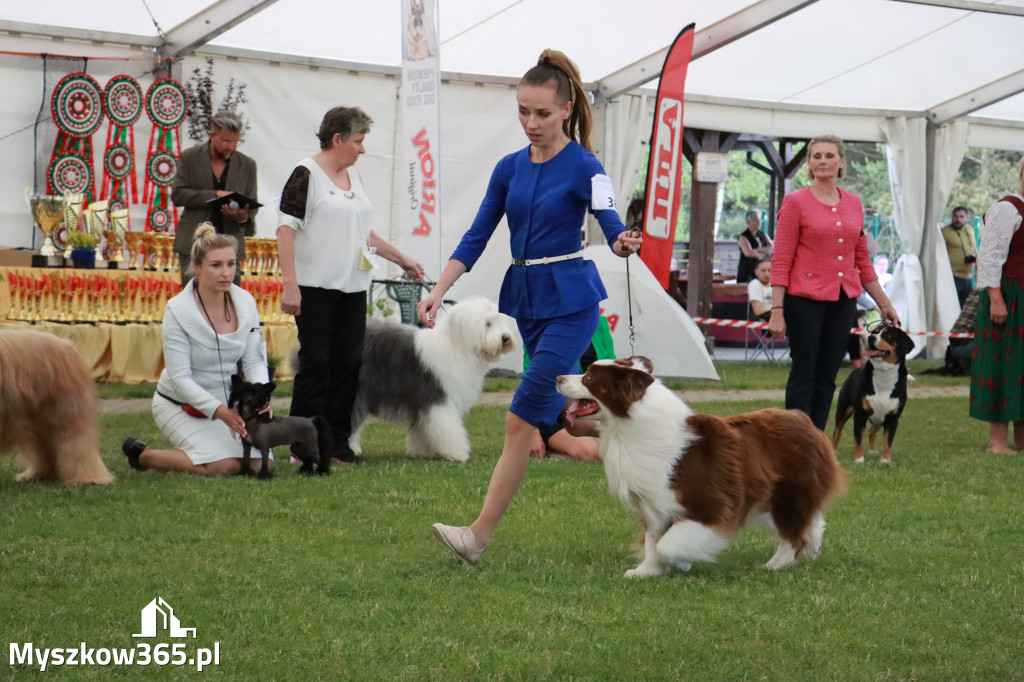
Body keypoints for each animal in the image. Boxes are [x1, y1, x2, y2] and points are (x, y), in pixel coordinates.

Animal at [0, 329, 113, 483]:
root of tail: (66, 344)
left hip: (67, 414)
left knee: (79, 445)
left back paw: (87, 478)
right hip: (38, 420)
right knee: (43, 450)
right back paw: (38, 474)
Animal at [557, 356, 843, 573]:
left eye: (589, 378)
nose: (558, 379)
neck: (626, 428)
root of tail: (803, 419)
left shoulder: (711, 504)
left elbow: (666, 545)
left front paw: (680, 561)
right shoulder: (654, 501)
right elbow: (652, 540)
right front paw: (646, 571)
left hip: (787, 493)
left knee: (793, 533)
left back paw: (775, 564)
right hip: (764, 500)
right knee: (810, 522)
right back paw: (812, 546)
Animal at [827, 319, 917, 462]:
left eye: (888, 335)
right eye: (875, 332)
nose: (870, 338)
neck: (884, 374)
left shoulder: (892, 418)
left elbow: (888, 442)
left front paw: (885, 461)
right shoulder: (860, 414)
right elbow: (858, 439)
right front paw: (859, 459)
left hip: (880, 417)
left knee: (871, 432)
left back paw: (873, 451)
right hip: (844, 410)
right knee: (837, 432)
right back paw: (833, 452)